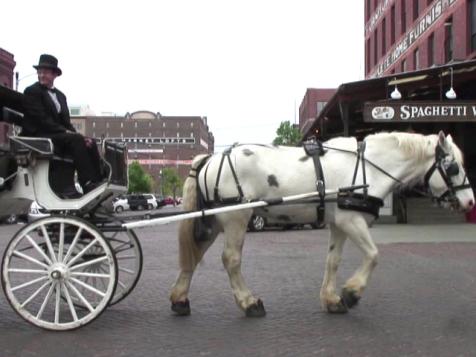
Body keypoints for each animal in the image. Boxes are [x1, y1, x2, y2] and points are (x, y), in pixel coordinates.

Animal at [169, 131, 474, 314]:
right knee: (231, 259)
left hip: (214, 221)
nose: (471, 202)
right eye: (453, 167)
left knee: (193, 257)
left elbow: (333, 260)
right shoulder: (352, 220)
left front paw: (332, 299)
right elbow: (374, 255)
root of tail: (211, 158)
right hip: (236, 218)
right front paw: (352, 292)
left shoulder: (339, 223)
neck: (368, 166)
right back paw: (249, 302)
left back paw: (180, 299)